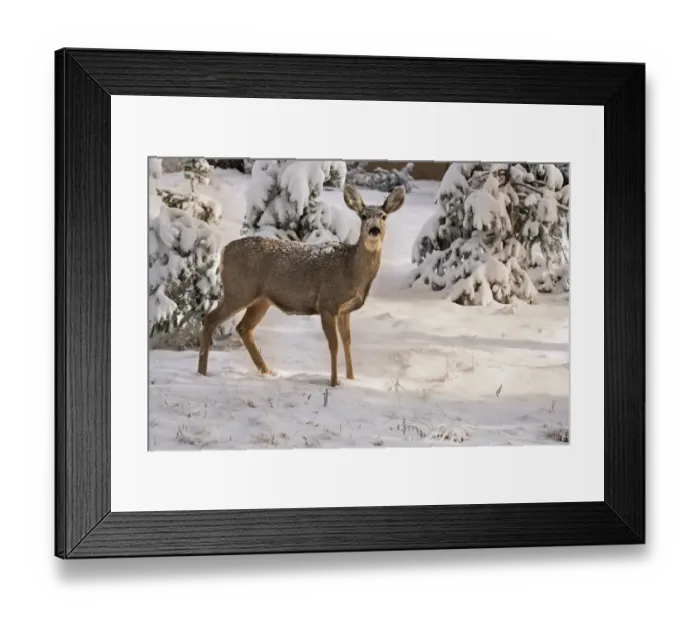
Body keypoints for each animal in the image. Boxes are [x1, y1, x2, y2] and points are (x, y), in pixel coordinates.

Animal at [197, 183, 406, 387]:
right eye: (363, 216)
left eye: (383, 216)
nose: (374, 230)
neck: (352, 271)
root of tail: (224, 251)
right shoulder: (327, 303)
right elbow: (334, 344)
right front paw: (334, 382)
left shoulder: (345, 310)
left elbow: (347, 342)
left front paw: (352, 378)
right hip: (239, 290)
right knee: (210, 318)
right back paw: (202, 372)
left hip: (261, 299)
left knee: (243, 328)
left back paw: (267, 372)